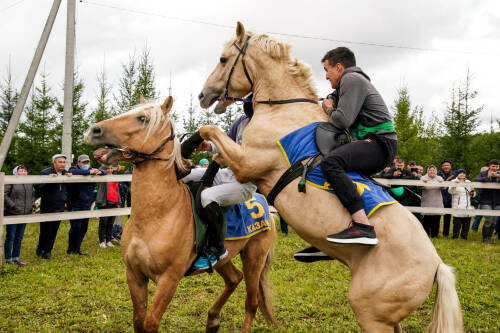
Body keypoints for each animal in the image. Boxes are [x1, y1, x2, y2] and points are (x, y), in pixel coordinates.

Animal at [82, 94, 278, 330]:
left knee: (252, 302)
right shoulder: (135, 276)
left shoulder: (169, 280)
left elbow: (150, 323)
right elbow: (138, 322)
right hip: (226, 260)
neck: (157, 216)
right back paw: (212, 319)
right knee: (234, 278)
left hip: (254, 257)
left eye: (143, 118)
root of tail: (264, 205)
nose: (94, 130)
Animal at [197, 22, 462, 330]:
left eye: (223, 59)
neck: (283, 108)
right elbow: (214, 150)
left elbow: (208, 130)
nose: (202, 96)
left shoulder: (247, 163)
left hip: (370, 314)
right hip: (388, 318)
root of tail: (437, 266)